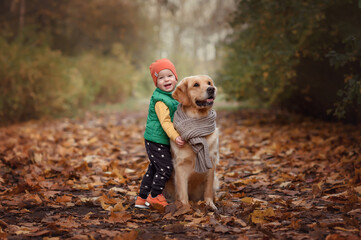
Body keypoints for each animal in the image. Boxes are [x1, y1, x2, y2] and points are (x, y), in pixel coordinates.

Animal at [164, 75, 218, 210]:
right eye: (196, 85)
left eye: (209, 83)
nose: (211, 89)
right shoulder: (180, 166)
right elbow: (183, 193)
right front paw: (185, 208)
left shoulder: (211, 162)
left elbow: (208, 189)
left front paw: (210, 204)